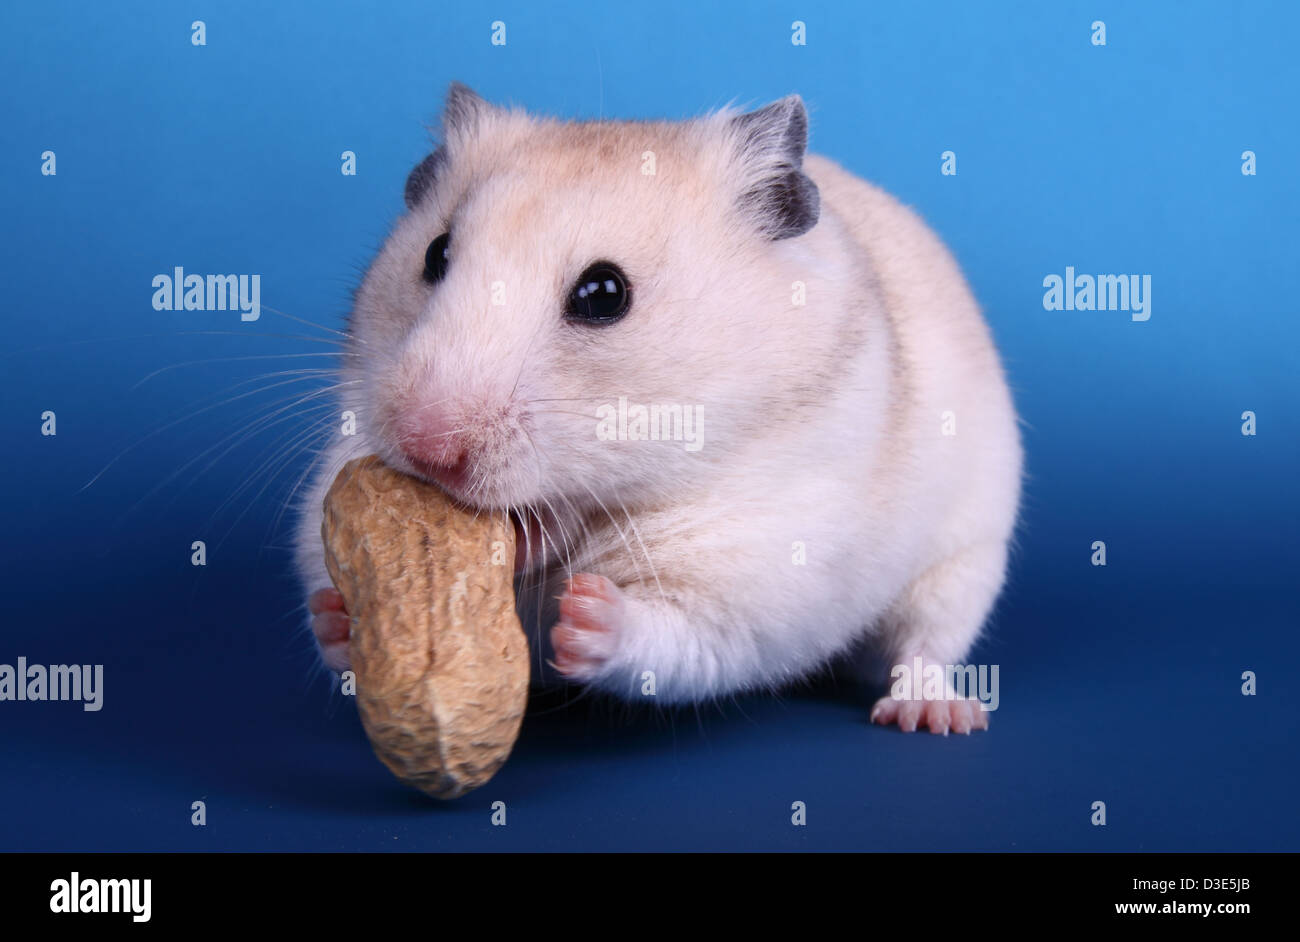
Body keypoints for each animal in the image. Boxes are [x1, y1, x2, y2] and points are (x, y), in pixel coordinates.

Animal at [296, 83, 1022, 735]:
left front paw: (586, 613)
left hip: (965, 559)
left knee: (926, 645)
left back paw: (935, 716)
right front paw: (340, 617)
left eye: (604, 293)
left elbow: (674, 635)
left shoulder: (755, 581)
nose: (425, 448)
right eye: (436, 253)